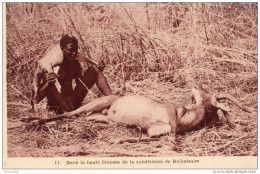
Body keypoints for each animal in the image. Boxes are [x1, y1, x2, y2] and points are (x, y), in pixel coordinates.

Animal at [61, 85, 252, 141]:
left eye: (208, 93)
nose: (196, 86)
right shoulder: (171, 110)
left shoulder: (155, 129)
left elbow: (152, 133)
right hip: (100, 102)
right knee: (69, 113)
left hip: (103, 118)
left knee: (84, 117)